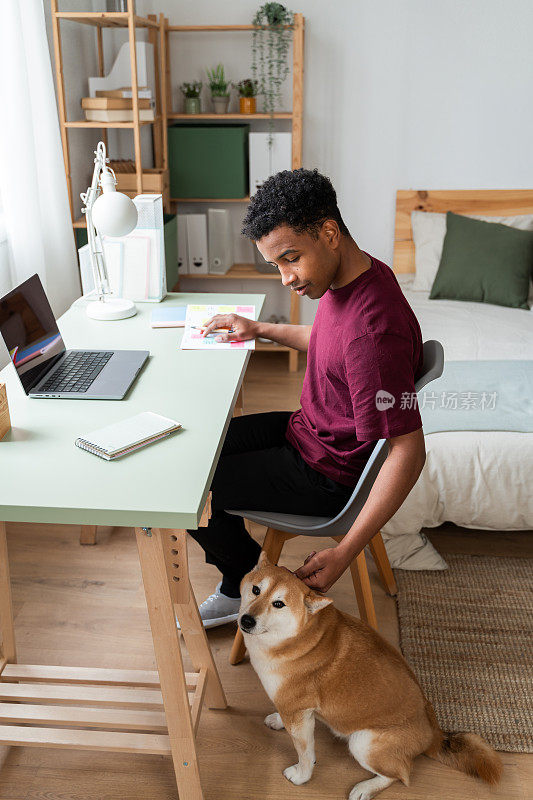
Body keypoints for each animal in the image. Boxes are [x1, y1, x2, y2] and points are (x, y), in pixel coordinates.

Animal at [239, 552, 500, 800]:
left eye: (279, 603)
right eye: (256, 590)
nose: (246, 620)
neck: (299, 638)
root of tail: (433, 733)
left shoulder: (297, 712)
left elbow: (305, 754)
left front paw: (302, 776)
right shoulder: (295, 710)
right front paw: (278, 720)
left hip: (362, 743)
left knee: (401, 775)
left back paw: (366, 788)